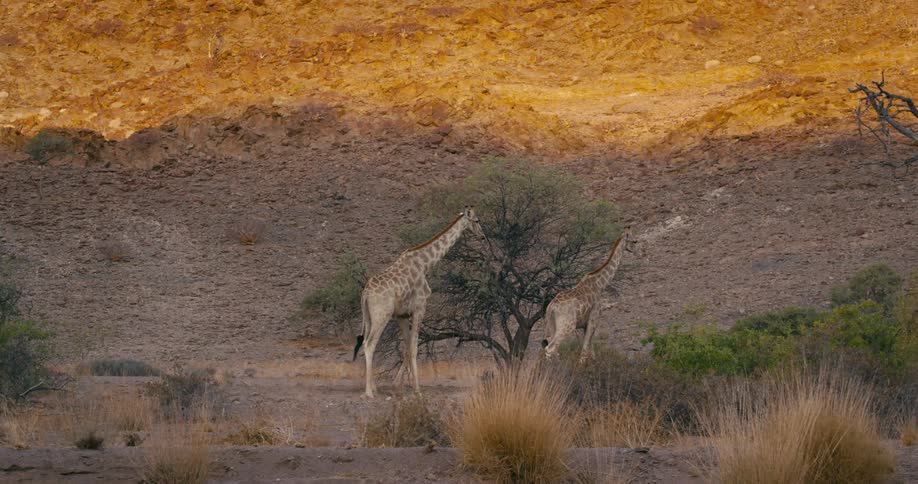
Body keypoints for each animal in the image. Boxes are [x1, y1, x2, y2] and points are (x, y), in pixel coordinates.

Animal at [352, 207, 483, 398]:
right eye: (477, 220)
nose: (483, 236)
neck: (425, 264)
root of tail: (365, 293)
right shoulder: (420, 308)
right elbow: (414, 347)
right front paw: (417, 389)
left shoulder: (402, 315)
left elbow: (407, 347)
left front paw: (397, 386)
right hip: (381, 315)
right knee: (369, 344)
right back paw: (369, 392)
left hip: (368, 317)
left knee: (364, 343)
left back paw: (374, 387)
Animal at [541, 227, 634, 362]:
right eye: (635, 241)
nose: (640, 251)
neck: (600, 284)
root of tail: (551, 307)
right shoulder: (594, 319)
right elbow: (585, 351)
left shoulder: (585, 325)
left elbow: (591, 351)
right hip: (567, 326)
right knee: (551, 348)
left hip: (553, 325)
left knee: (552, 348)